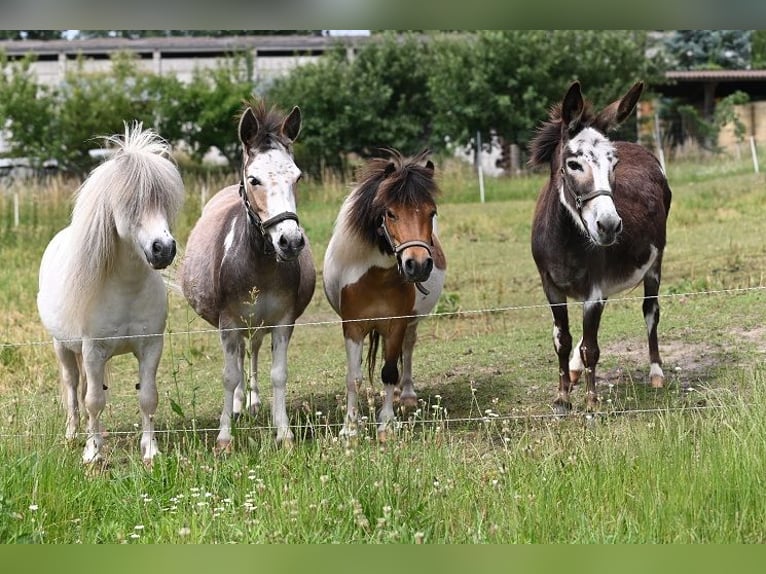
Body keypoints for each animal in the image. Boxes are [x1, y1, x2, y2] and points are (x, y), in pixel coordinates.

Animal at [37, 122, 185, 464]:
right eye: (130, 204)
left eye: (164, 201)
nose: (164, 249)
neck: (126, 290)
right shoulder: (93, 350)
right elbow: (93, 401)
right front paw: (92, 454)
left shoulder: (150, 347)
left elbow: (148, 397)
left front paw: (151, 451)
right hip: (63, 347)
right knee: (72, 388)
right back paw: (72, 435)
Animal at [179, 101, 315, 452]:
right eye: (254, 179)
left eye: (297, 177)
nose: (290, 241)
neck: (258, 264)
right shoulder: (228, 323)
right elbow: (229, 375)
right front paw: (225, 438)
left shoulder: (282, 321)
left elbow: (279, 373)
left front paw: (284, 433)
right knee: (240, 356)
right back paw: (240, 405)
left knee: (251, 350)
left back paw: (252, 403)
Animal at [323, 149, 446, 439]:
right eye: (390, 213)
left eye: (432, 212)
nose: (418, 264)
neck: (377, 278)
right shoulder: (352, 327)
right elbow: (353, 377)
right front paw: (349, 427)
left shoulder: (396, 324)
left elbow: (389, 371)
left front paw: (387, 423)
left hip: (411, 322)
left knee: (408, 349)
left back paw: (407, 394)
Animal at [529, 81, 672, 414]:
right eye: (573, 164)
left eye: (613, 164)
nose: (608, 226)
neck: (564, 239)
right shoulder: (551, 287)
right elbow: (562, 340)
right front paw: (562, 397)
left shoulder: (593, 290)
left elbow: (591, 348)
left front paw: (592, 403)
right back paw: (573, 371)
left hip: (655, 264)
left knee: (651, 312)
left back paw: (656, 373)